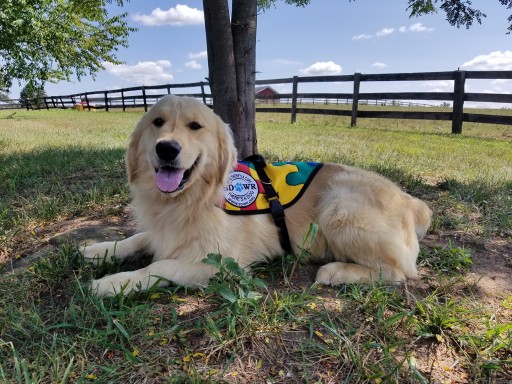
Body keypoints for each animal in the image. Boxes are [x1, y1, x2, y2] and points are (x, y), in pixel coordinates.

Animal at [84, 94, 432, 296]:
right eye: (157, 122)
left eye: (195, 126)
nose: (166, 148)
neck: (190, 199)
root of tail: (410, 201)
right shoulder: (163, 231)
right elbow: (138, 238)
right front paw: (100, 249)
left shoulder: (222, 262)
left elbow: (159, 266)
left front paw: (113, 282)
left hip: (340, 208)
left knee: (398, 272)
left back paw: (335, 271)